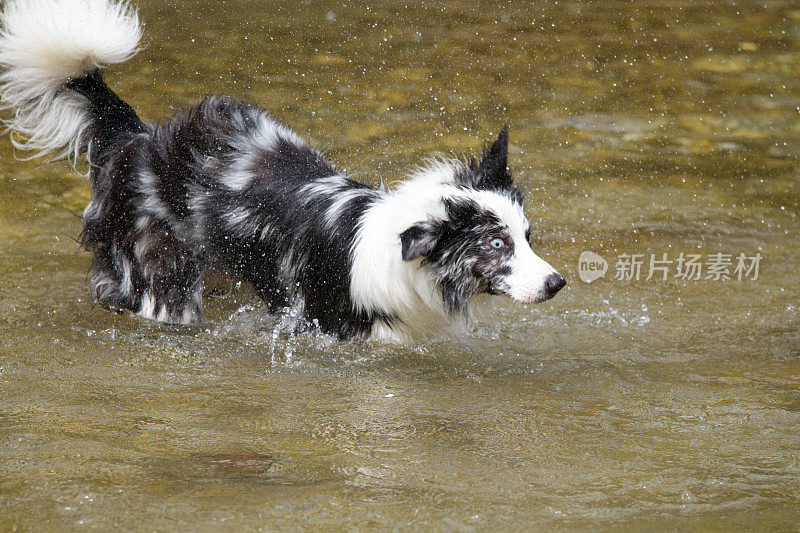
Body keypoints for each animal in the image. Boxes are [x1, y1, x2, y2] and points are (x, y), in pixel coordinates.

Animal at [0, 0, 564, 340]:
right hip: (164, 281)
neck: (404, 258)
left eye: (527, 236)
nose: (558, 282)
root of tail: (139, 138)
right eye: (496, 244)